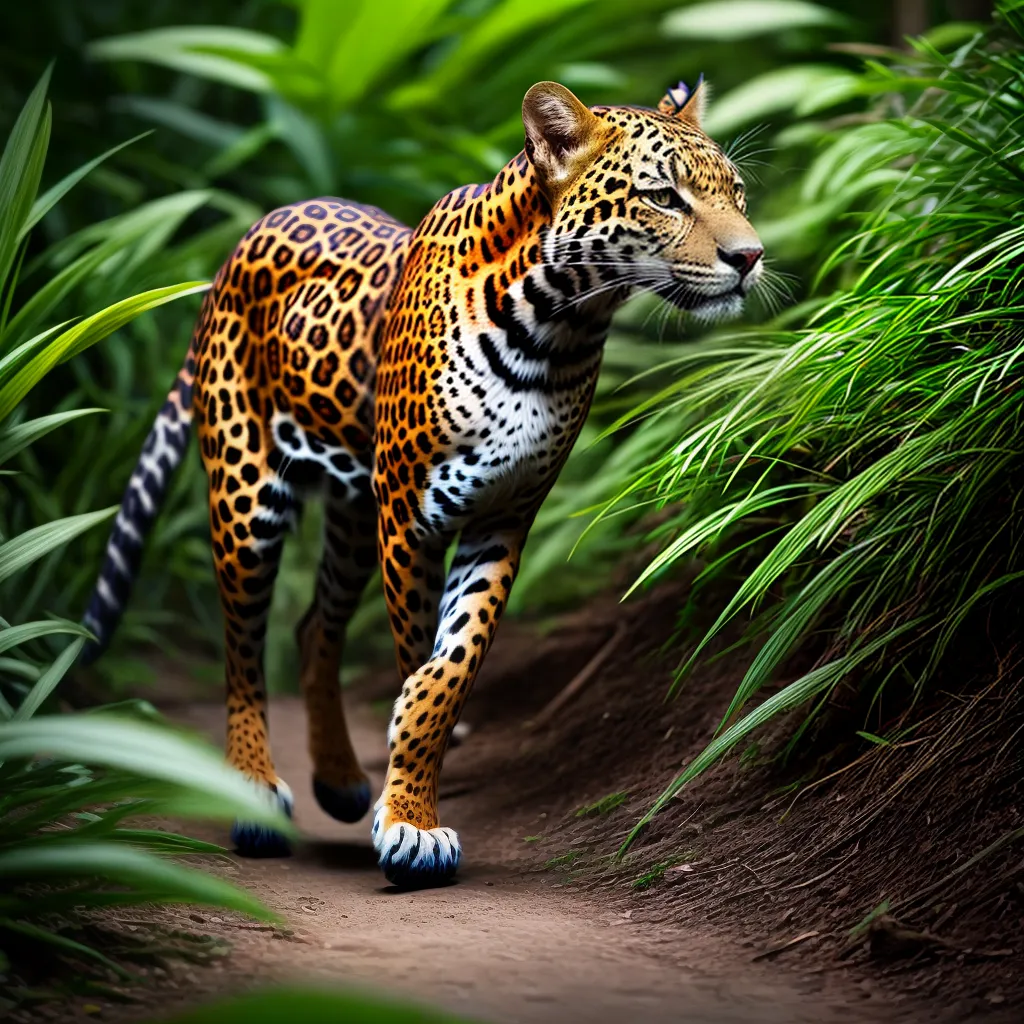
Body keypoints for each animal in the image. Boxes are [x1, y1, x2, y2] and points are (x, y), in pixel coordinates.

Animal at [81, 78, 763, 888]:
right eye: (664, 196)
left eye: (736, 192)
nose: (751, 256)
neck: (559, 327)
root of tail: (238, 246)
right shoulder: (412, 516)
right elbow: (419, 661)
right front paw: (410, 815)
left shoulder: (503, 517)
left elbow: (453, 668)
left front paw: (404, 789)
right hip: (248, 495)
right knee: (243, 648)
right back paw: (253, 791)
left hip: (351, 513)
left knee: (314, 626)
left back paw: (340, 779)